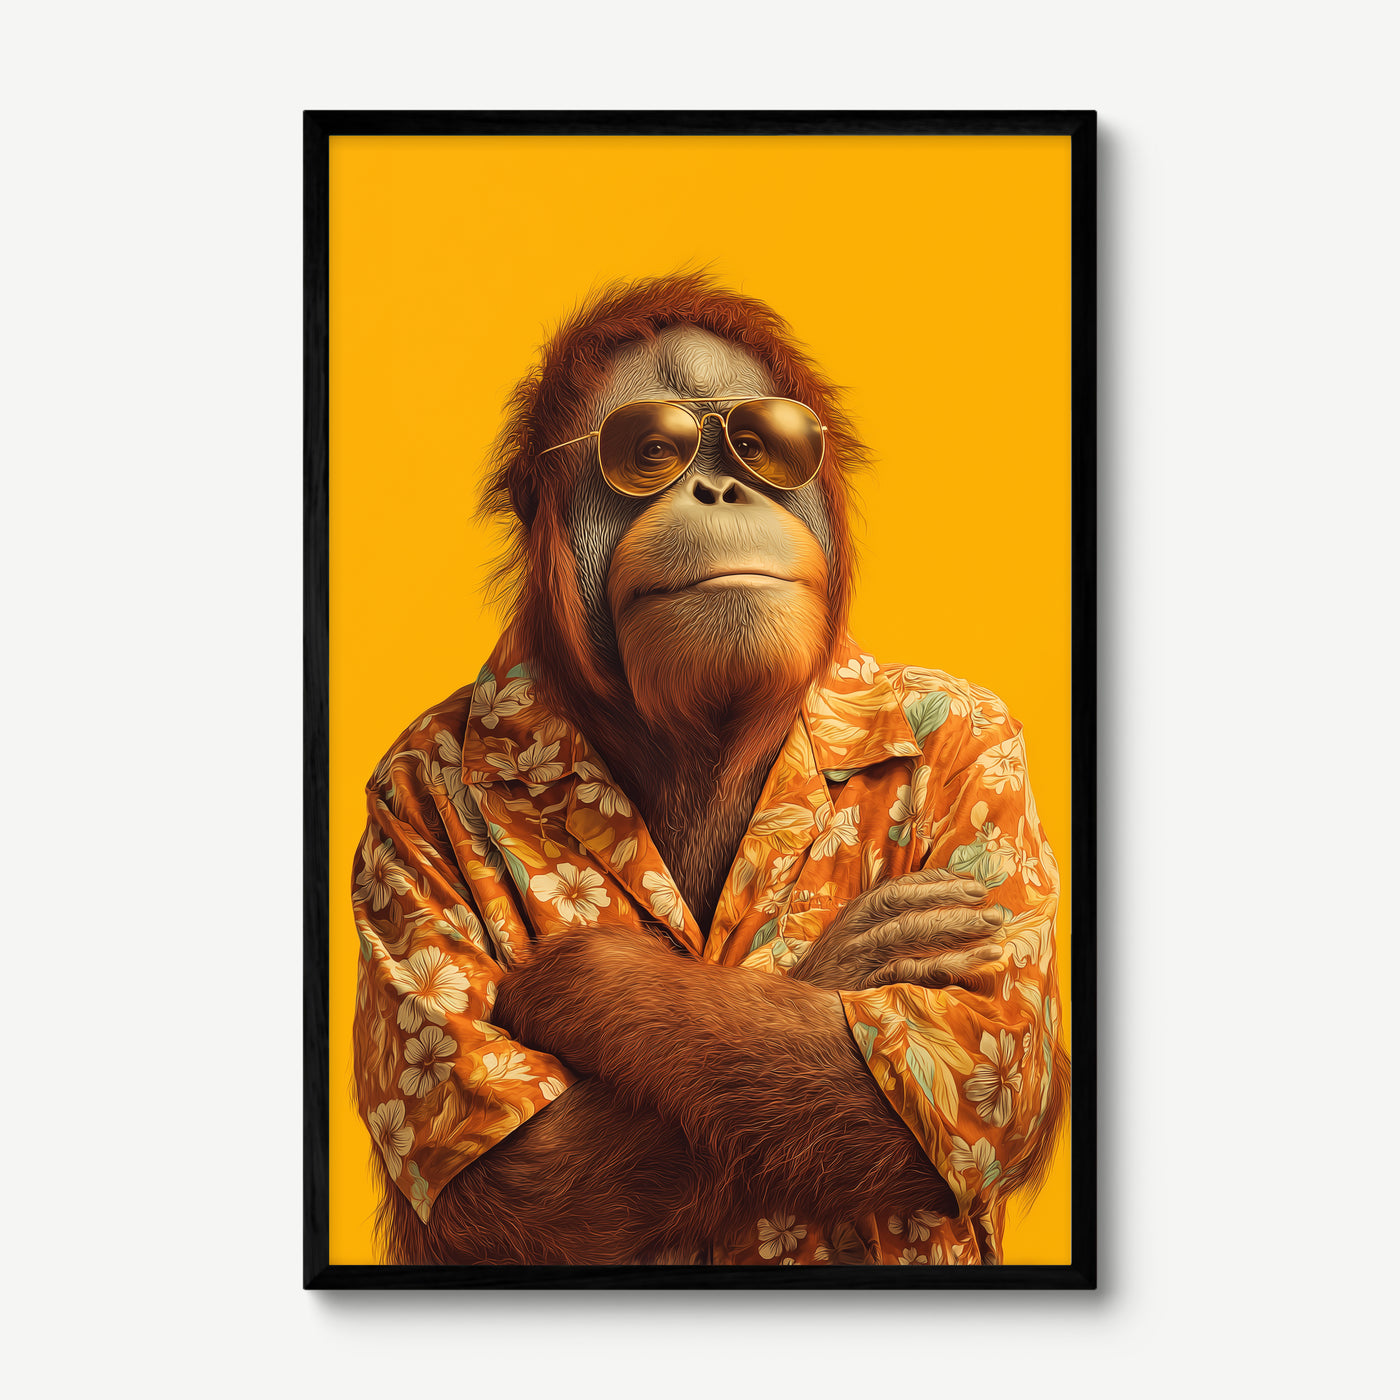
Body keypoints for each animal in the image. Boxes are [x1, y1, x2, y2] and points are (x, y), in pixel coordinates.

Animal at [355, 272, 1070, 1268]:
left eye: (762, 445)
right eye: (652, 450)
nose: (722, 485)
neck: (704, 737)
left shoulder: (988, 743)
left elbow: (966, 1042)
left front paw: (591, 978)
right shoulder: (400, 795)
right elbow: (519, 1176)